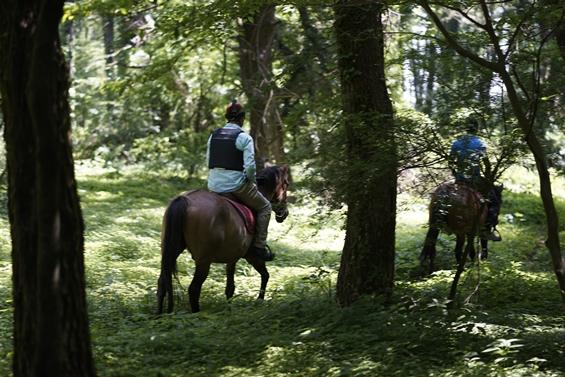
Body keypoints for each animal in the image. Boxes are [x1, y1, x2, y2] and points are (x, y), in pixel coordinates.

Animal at [156, 166, 288, 312]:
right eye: (286, 184)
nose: (284, 214)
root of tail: (184, 200)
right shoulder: (252, 256)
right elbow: (265, 275)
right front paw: (259, 300)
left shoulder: (232, 258)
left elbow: (230, 287)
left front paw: (229, 308)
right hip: (203, 261)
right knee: (194, 289)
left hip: (171, 252)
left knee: (162, 283)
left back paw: (159, 314)